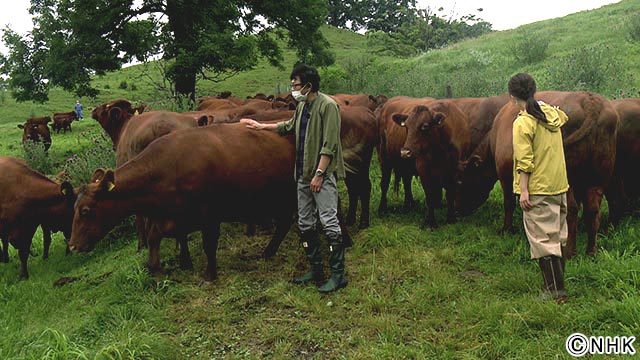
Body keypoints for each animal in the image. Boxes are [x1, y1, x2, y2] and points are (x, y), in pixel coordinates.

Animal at [69, 122, 298, 280]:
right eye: (74, 208)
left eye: (86, 210)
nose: (72, 245)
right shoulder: (169, 218)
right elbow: (159, 240)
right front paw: (167, 267)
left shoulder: (209, 215)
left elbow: (208, 244)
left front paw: (210, 274)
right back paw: (269, 251)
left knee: (285, 222)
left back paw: (268, 251)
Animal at [390, 99, 470, 228]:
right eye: (406, 126)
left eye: (425, 126)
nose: (405, 152)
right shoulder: (423, 169)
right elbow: (429, 195)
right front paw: (430, 222)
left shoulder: (453, 169)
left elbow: (450, 193)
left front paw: (451, 218)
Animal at [458, 90, 616, 258]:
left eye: (460, 182)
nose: (458, 210)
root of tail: (589, 100)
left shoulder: (505, 174)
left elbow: (509, 202)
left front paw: (506, 229)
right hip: (598, 178)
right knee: (592, 210)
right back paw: (591, 252)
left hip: (567, 180)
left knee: (571, 210)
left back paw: (569, 252)